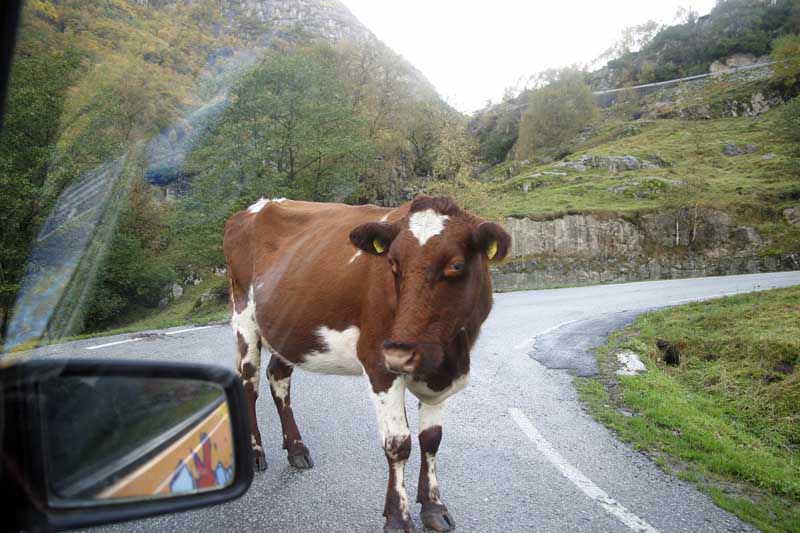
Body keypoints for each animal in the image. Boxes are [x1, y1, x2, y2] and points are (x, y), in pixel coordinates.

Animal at [223, 195, 510, 532]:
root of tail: (256, 207)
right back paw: (256, 453)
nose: (400, 353)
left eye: (456, 265)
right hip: (243, 317)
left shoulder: (443, 374)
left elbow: (431, 440)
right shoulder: (377, 361)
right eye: (393, 265)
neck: (450, 354)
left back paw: (297, 448)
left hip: (286, 328)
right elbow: (398, 443)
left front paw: (434, 507)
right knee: (249, 383)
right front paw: (398, 517)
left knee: (278, 377)